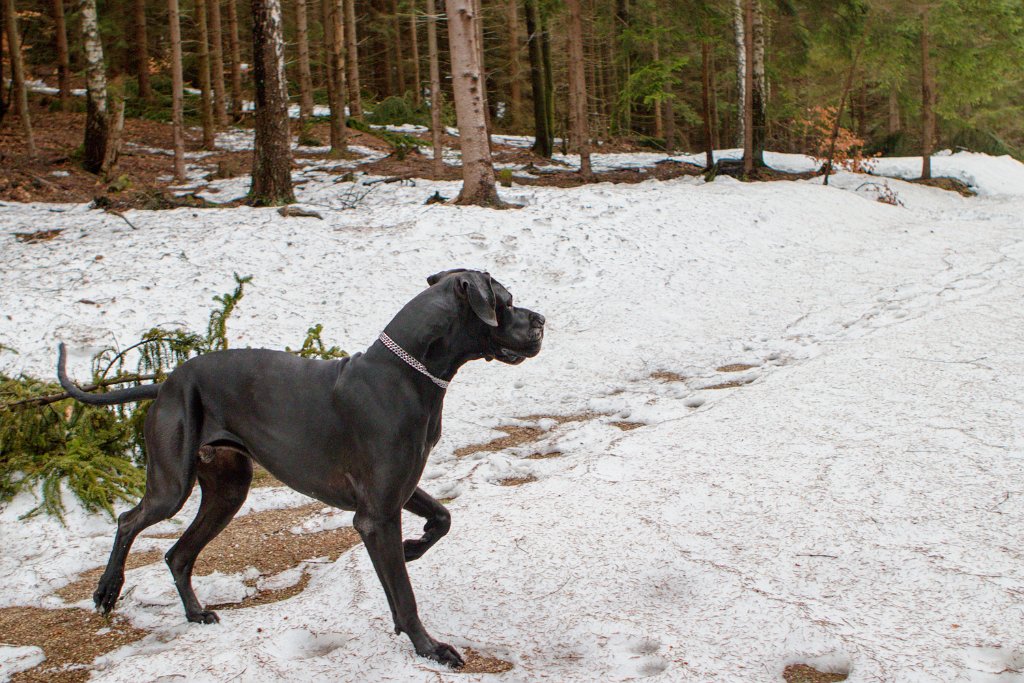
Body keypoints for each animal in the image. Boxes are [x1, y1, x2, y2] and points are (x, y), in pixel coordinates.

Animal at [58, 268, 544, 667]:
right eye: (506, 300)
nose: (541, 319)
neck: (408, 375)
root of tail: (166, 382)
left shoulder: (396, 492)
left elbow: (443, 518)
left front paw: (409, 549)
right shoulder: (376, 514)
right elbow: (405, 596)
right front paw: (430, 649)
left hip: (228, 492)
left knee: (177, 554)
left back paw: (195, 613)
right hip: (172, 485)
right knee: (128, 519)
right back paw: (107, 591)